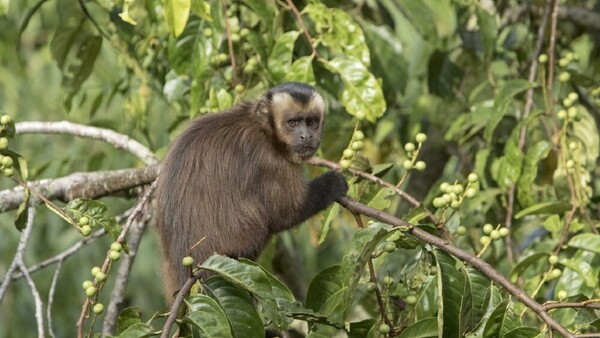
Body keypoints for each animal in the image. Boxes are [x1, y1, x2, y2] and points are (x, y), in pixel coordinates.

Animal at [157, 82, 350, 298]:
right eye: (293, 122)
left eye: (311, 122)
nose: (306, 136)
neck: (265, 130)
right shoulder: (269, 161)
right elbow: (286, 212)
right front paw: (333, 184)